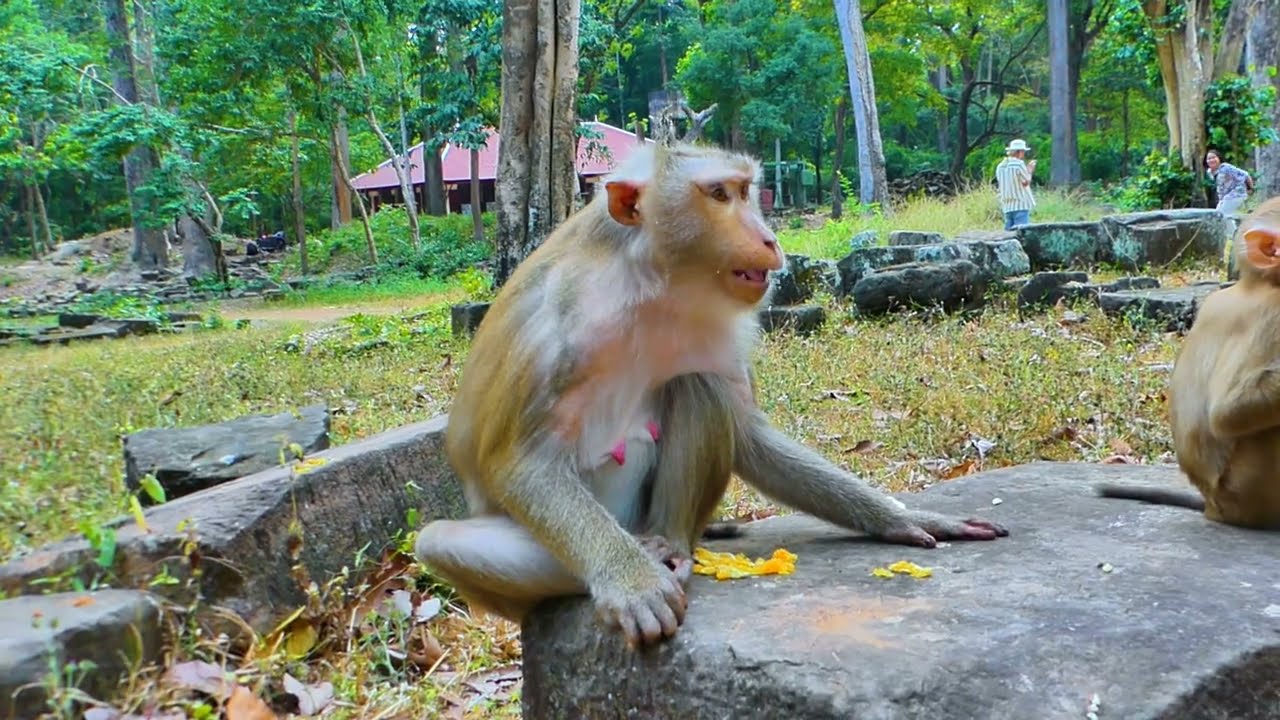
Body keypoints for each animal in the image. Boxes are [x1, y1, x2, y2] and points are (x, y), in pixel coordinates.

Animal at [414, 141, 1008, 649]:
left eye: (746, 191)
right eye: (719, 195)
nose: (769, 239)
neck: (653, 285)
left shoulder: (725, 327)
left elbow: (747, 432)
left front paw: (904, 518)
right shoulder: (555, 327)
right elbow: (521, 462)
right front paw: (631, 584)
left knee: (699, 385)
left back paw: (675, 541)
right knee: (438, 541)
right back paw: (640, 563)